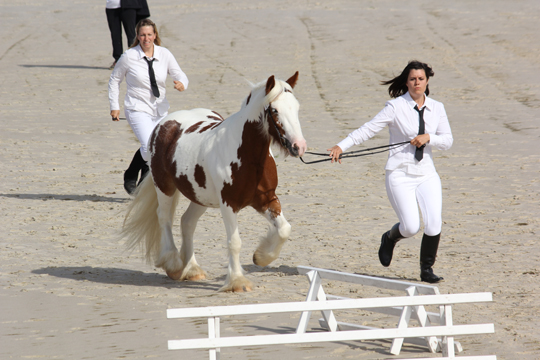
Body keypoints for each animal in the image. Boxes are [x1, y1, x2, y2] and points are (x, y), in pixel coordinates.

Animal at [123, 71, 308, 292]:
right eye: (274, 110)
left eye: (296, 107)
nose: (299, 146)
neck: (247, 155)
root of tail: (165, 123)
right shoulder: (228, 204)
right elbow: (234, 242)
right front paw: (237, 281)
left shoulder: (266, 199)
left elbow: (284, 229)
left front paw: (261, 257)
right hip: (164, 186)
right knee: (164, 218)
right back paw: (174, 264)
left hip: (200, 196)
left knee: (187, 222)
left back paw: (192, 269)